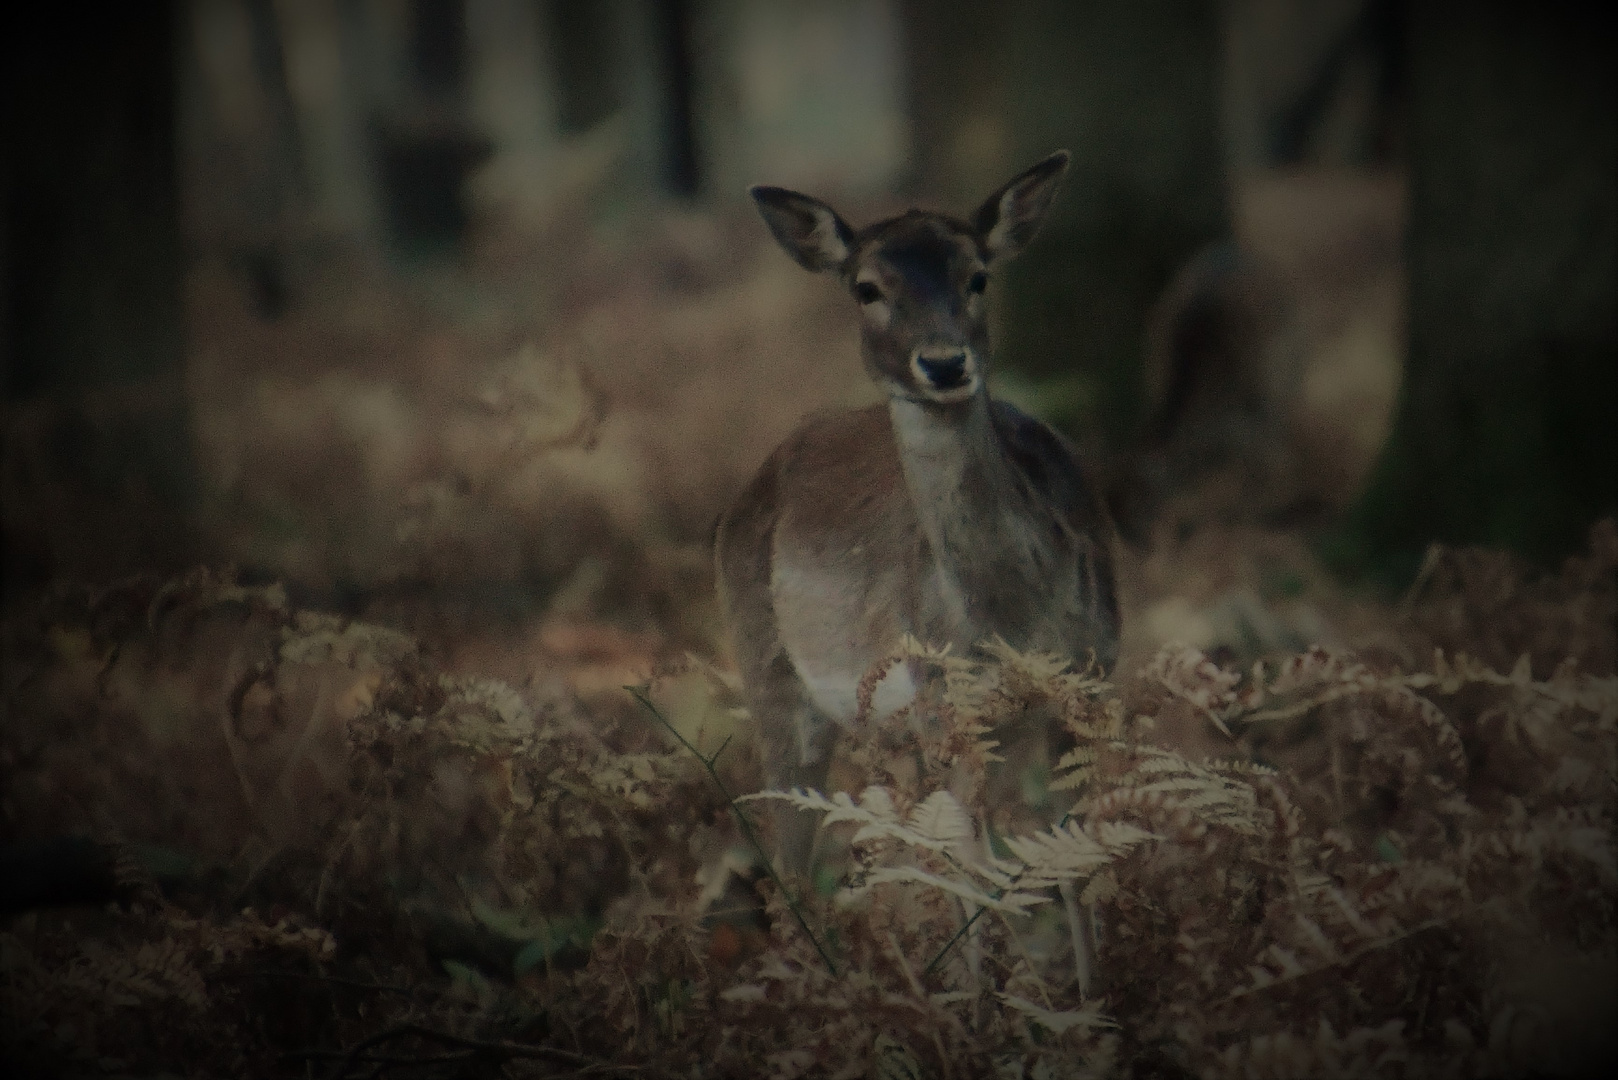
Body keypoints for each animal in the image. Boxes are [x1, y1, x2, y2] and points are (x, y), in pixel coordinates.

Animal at [715, 152, 1119, 887]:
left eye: (979, 276)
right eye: (866, 288)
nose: (942, 361)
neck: (1013, 624)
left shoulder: (1096, 677)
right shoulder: (942, 708)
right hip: (771, 677)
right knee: (793, 854)